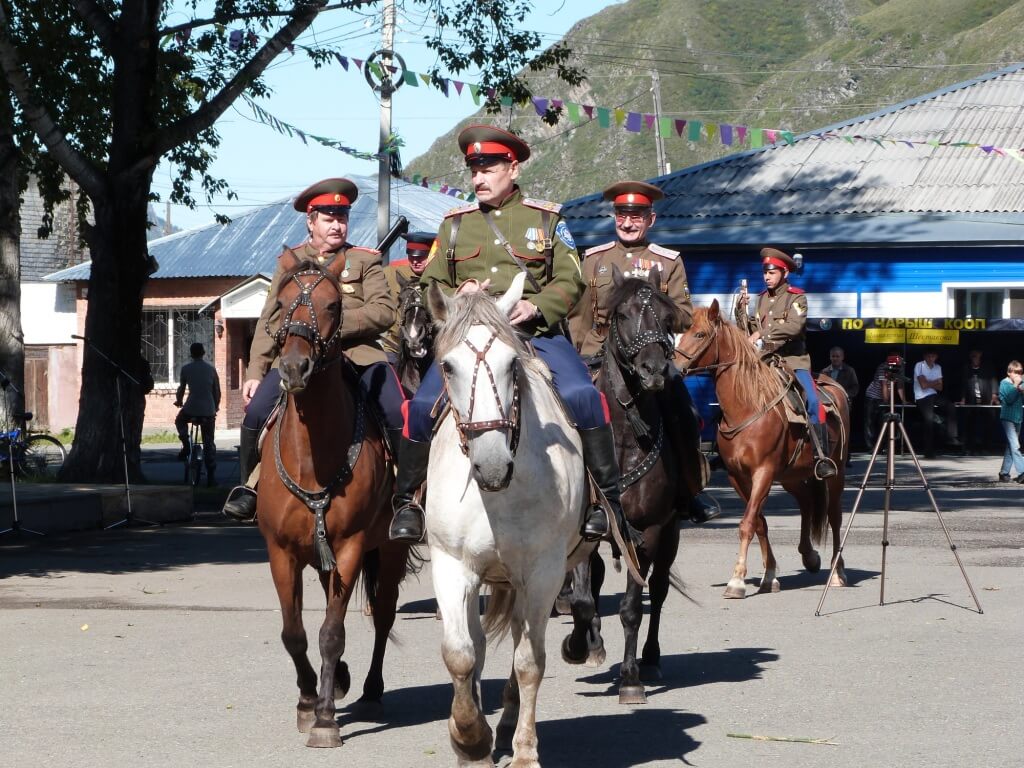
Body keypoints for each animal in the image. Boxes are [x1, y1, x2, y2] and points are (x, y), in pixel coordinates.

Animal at [258, 252, 413, 745]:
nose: (293, 369)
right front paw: (309, 700)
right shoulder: (281, 552)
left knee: (382, 614)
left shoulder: (349, 548)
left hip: (392, 547)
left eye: (332, 305)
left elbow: (332, 632)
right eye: (282, 300)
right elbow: (294, 633)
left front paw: (325, 718)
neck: (313, 455)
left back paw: (370, 689)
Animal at [423, 274, 598, 768]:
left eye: (510, 364)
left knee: (524, 640)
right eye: (447, 367)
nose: (493, 465)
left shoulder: (542, 574)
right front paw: (469, 739)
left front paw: (523, 751)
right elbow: (461, 654)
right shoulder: (452, 565)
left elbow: (529, 662)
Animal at [561, 268, 688, 708]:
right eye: (622, 314)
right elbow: (582, 598)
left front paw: (630, 678)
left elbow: (634, 606)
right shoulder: (584, 528)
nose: (653, 369)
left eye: (668, 319)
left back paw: (650, 658)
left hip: (671, 534)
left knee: (660, 591)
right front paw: (578, 645)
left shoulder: (648, 531)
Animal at [675, 301, 851, 602]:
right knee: (806, 502)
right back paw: (809, 556)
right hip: (791, 475)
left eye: (699, 334)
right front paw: (770, 576)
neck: (747, 406)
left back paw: (837, 572)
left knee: (834, 515)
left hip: (834, 473)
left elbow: (747, 523)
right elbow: (759, 523)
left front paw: (737, 581)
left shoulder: (763, 473)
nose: (673, 368)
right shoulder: (738, 477)